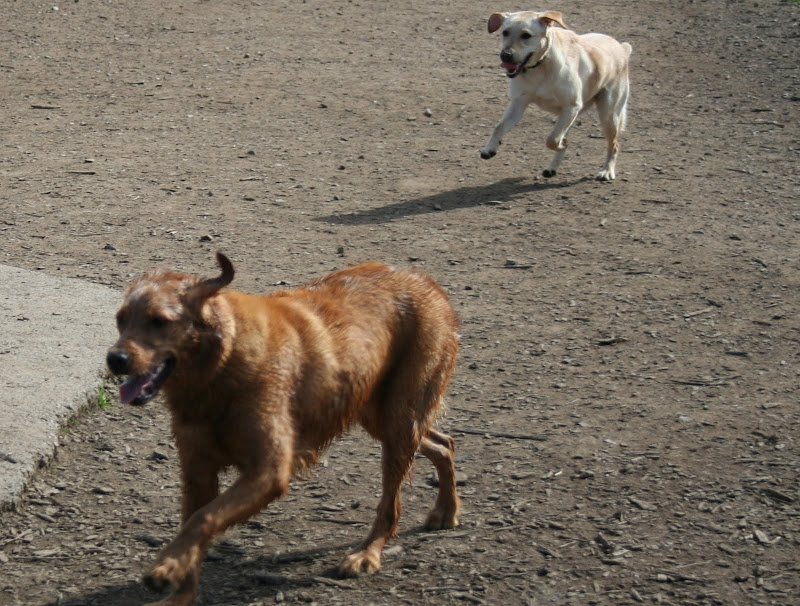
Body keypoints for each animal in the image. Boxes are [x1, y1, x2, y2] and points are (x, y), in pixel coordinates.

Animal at [104, 254, 462, 606]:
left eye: (159, 321)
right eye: (120, 319)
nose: (114, 359)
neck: (219, 368)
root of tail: (424, 278)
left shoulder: (269, 471)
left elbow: (202, 519)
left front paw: (166, 567)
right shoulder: (197, 471)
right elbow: (192, 525)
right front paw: (180, 591)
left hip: (398, 417)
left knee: (391, 503)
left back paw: (366, 553)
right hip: (376, 414)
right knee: (444, 443)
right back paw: (445, 510)